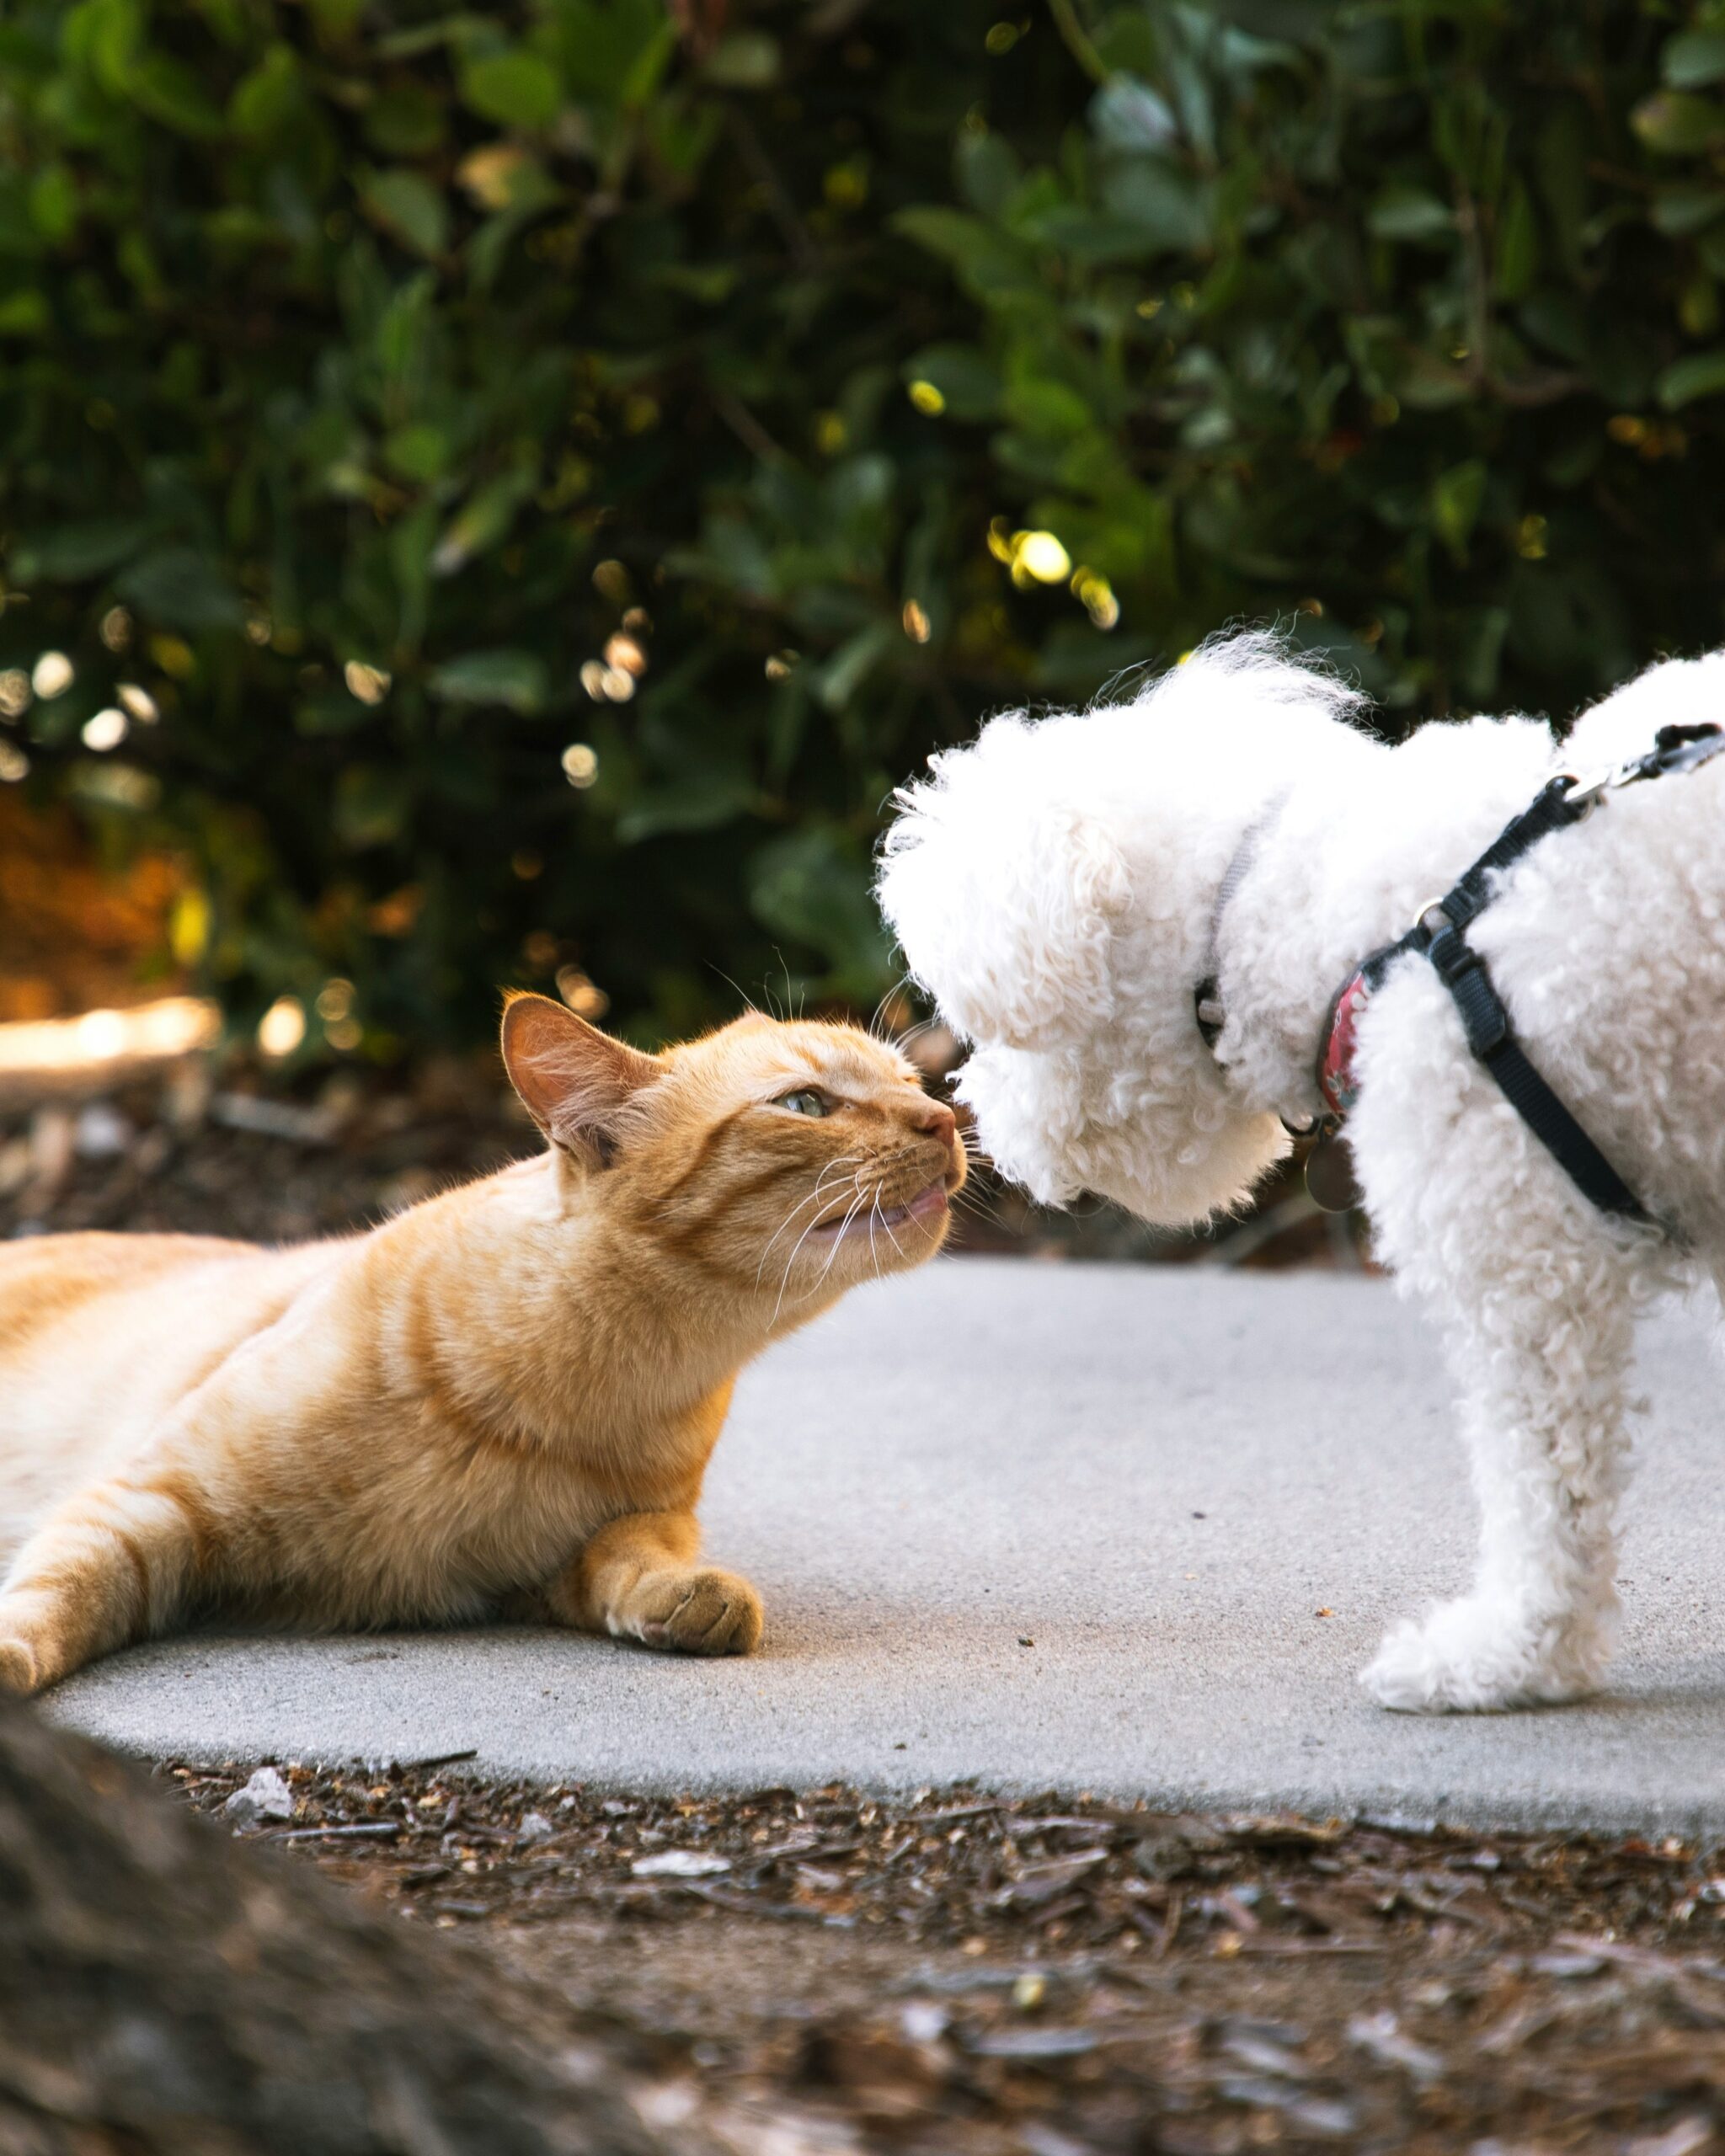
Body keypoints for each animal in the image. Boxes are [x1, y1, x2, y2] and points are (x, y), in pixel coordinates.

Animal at [0, 991, 961, 1681]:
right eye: (805, 1102)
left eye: (913, 1081)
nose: (945, 1121)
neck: (584, 1386)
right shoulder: (148, 1502)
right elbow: (57, 1592)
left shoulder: (574, 1554)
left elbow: (628, 1555)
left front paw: (685, 1596)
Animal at [884, 629, 1716, 1707]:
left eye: (992, 1026)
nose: (968, 1116)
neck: (1368, 924)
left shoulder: (1523, 1268)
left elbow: (1544, 1491)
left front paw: (1506, 1657)